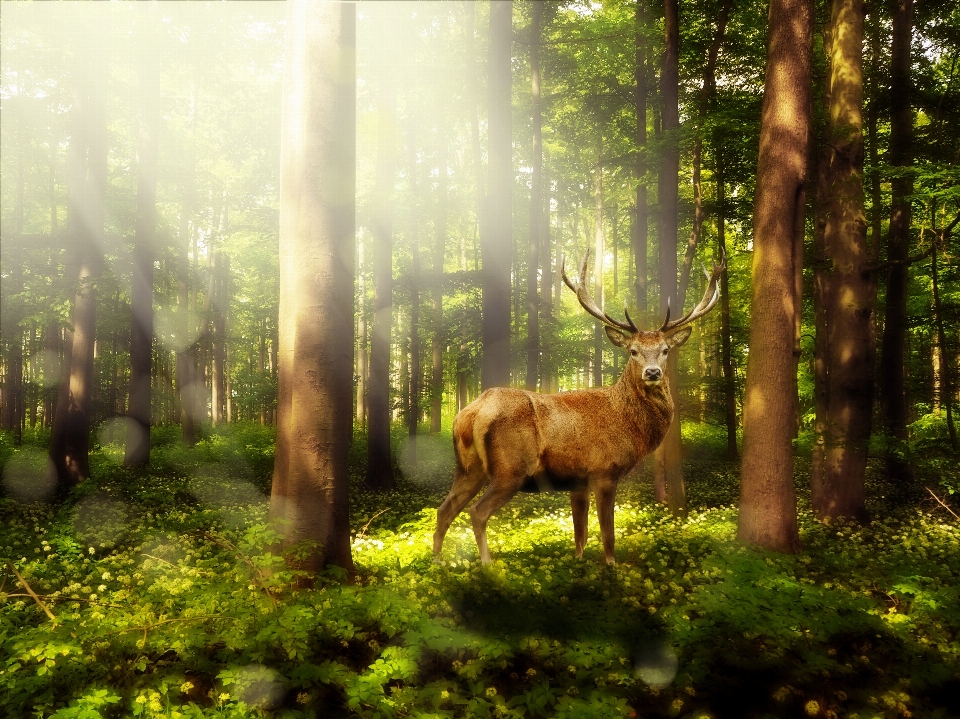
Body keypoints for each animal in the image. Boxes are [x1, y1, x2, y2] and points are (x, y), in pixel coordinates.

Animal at [432, 250, 724, 564]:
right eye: (633, 351)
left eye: (665, 350)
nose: (653, 372)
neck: (628, 425)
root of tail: (472, 412)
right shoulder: (604, 471)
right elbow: (607, 534)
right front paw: (610, 566)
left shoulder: (577, 482)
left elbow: (580, 535)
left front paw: (579, 562)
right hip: (511, 468)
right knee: (477, 512)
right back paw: (487, 565)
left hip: (467, 468)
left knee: (444, 510)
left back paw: (437, 563)